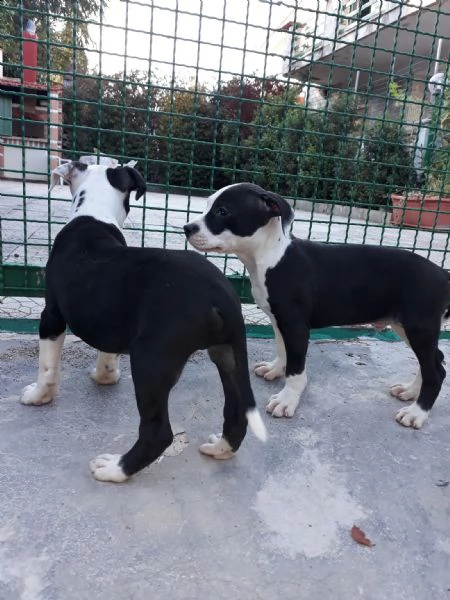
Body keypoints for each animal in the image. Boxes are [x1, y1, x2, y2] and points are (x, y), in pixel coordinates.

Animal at [21, 163, 266, 482]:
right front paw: (104, 376)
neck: (95, 212)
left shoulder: (51, 316)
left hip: (151, 358)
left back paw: (115, 469)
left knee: (158, 433)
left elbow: (47, 367)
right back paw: (221, 448)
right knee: (236, 412)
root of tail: (220, 294)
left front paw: (38, 396)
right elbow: (107, 353)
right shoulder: (110, 320)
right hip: (227, 353)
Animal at [184, 180, 450, 428]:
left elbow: (296, 368)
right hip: (405, 325)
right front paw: (275, 369)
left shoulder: (296, 326)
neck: (270, 256)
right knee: (434, 360)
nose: (187, 228)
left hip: (419, 327)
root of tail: (442, 273)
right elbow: (282, 349)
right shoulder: (279, 320)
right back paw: (411, 391)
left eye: (222, 211)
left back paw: (417, 413)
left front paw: (287, 399)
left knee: (435, 372)